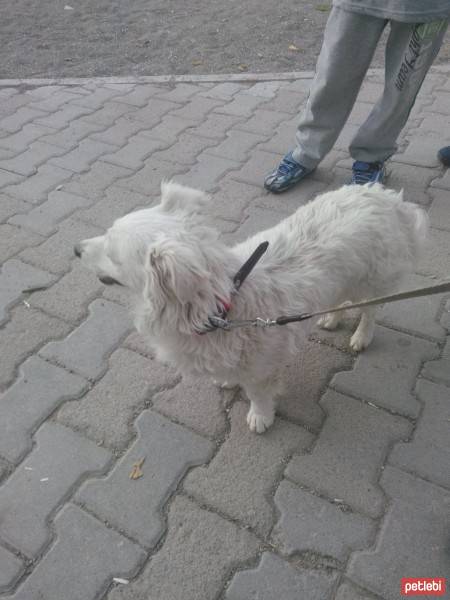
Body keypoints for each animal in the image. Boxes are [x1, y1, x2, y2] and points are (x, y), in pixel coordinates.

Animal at [75, 180, 428, 434]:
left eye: (112, 253)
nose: (76, 249)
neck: (223, 309)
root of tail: (386, 197)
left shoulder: (260, 369)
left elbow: (257, 394)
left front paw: (260, 416)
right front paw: (228, 380)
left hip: (373, 280)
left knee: (370, 310)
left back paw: (361, 336)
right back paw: (331, 318)